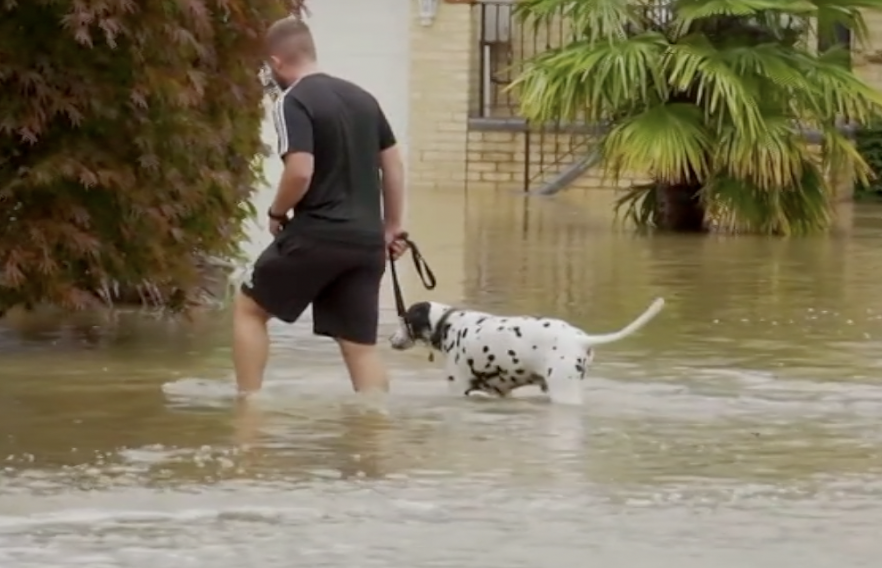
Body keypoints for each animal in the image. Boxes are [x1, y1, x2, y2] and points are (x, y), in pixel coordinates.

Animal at [388, 300, 664, 406]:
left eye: (403, 320)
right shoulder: (501, 392)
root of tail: (579, 338)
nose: (390, 339)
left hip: (563, 390)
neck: (449, 324)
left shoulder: (458, 389)